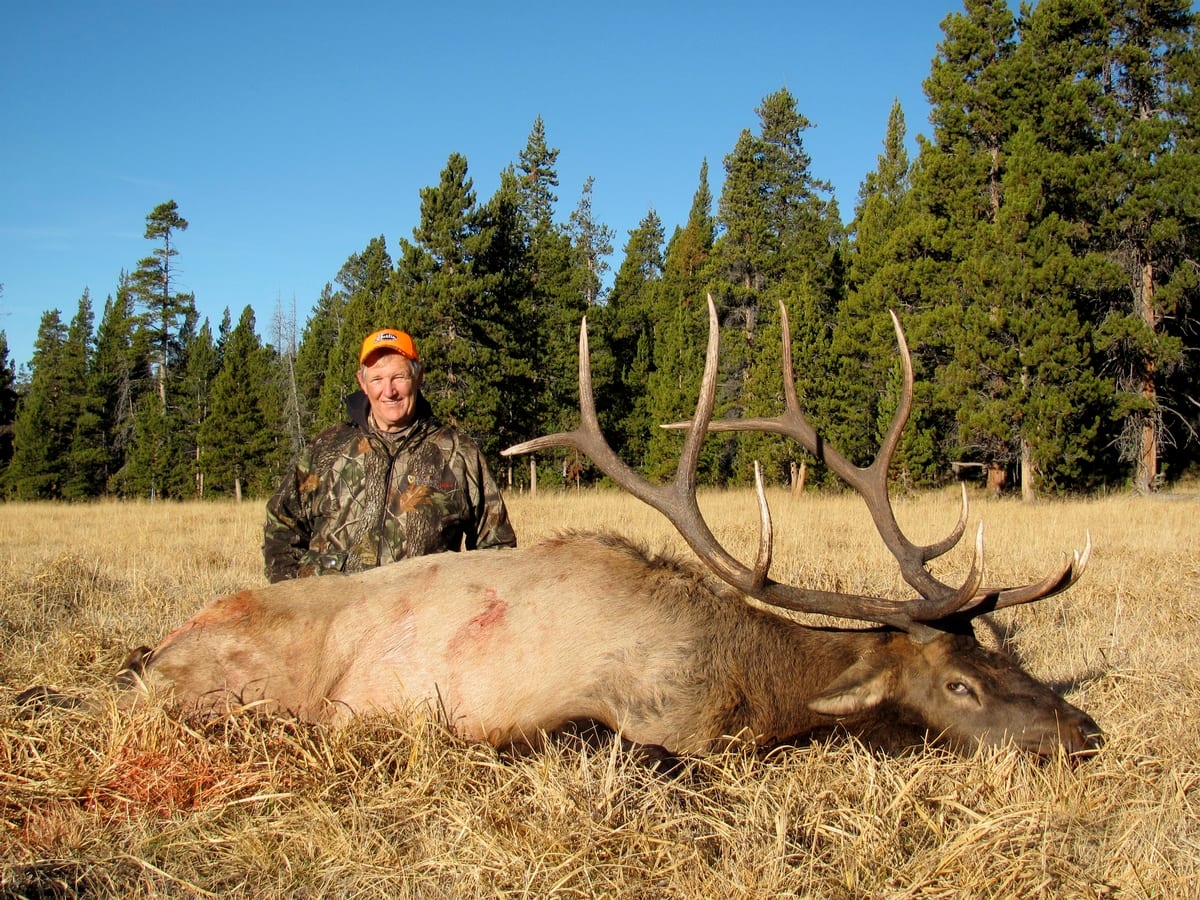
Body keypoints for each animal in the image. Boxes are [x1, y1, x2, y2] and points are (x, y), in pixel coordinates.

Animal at [18, 297, 1102, 761]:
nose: (1084, 732)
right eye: (960, 685)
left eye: (1010, 660)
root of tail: (148, 658)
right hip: (239, 691)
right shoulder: (629, 717)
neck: (749, 683)